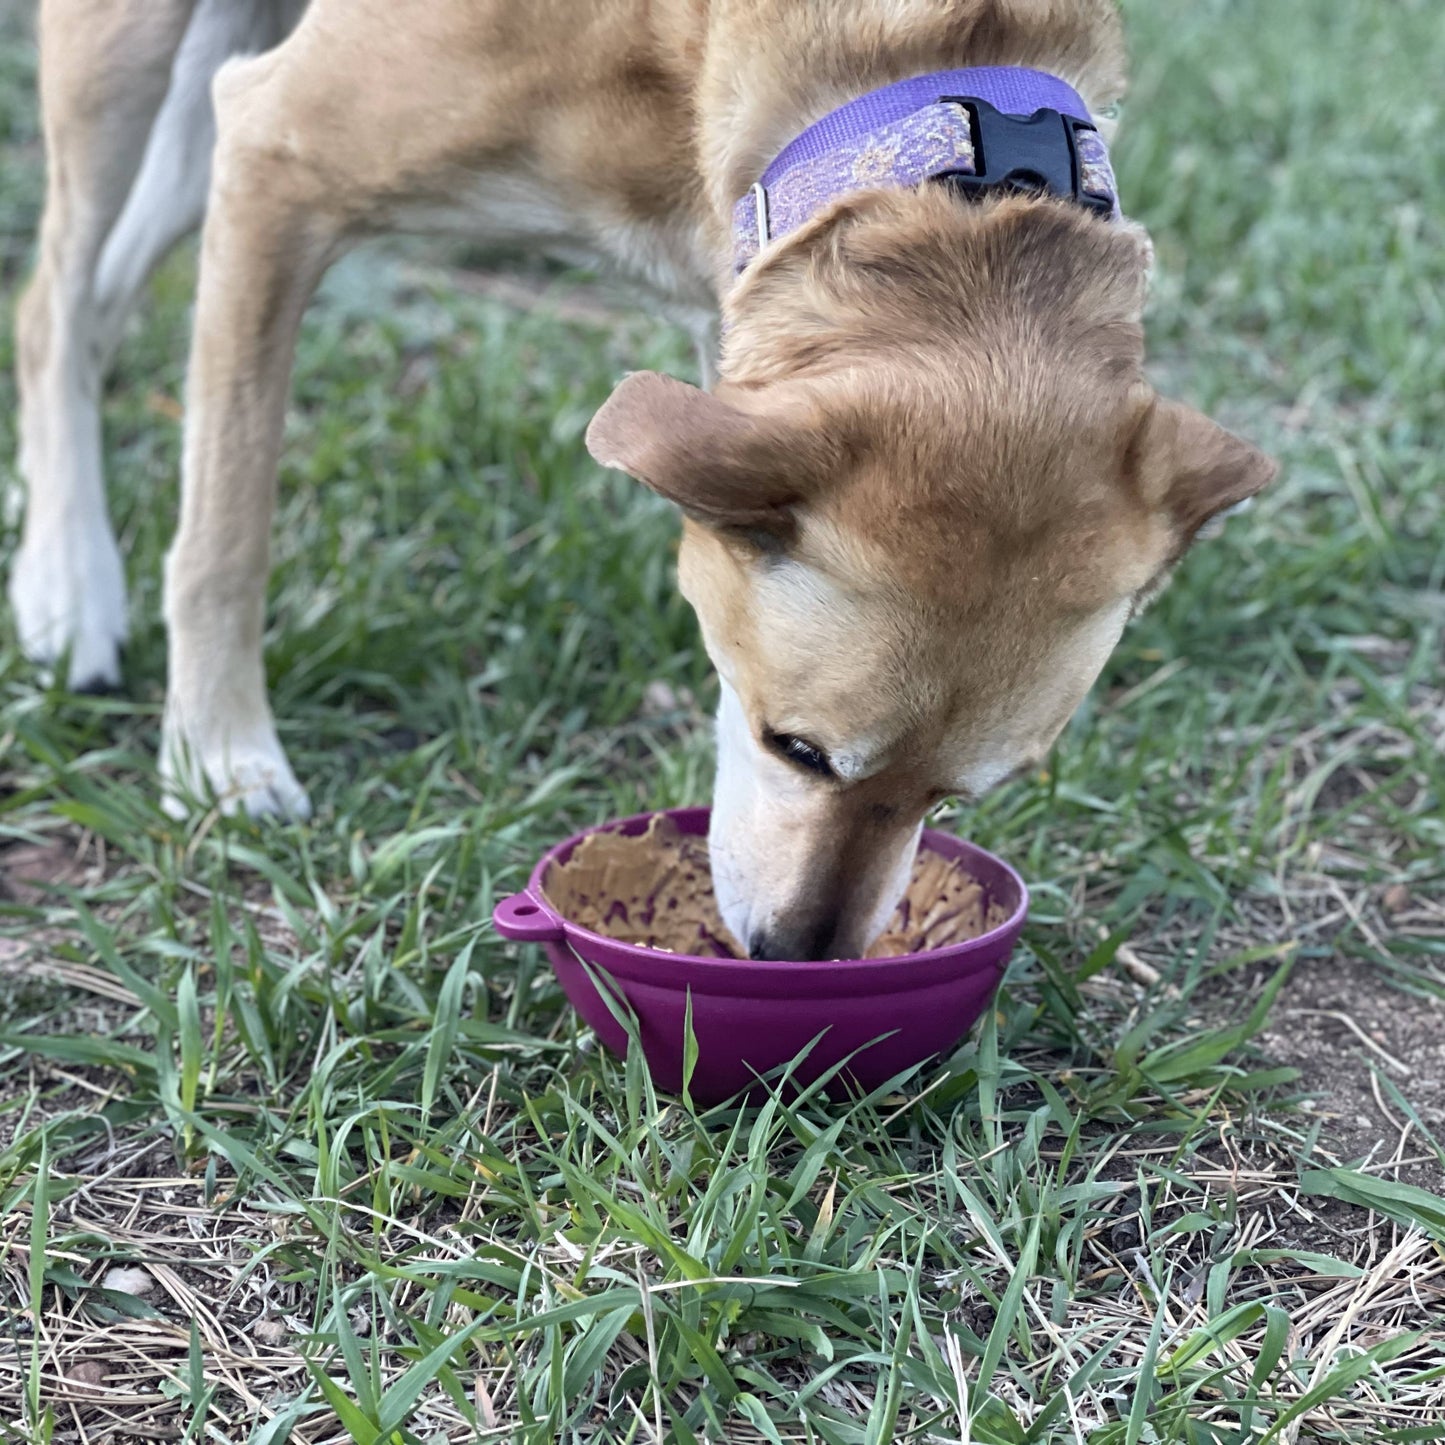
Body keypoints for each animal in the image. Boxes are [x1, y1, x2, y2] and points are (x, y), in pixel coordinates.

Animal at [16, 5, 1271, 965]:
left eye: (956, 798)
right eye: (793, 748)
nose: (793, 961)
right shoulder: (277, 153)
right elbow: (225, 528)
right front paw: (220, 756)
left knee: (106, 292)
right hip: (133, 62)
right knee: (53, 299)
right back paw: (69, 584)